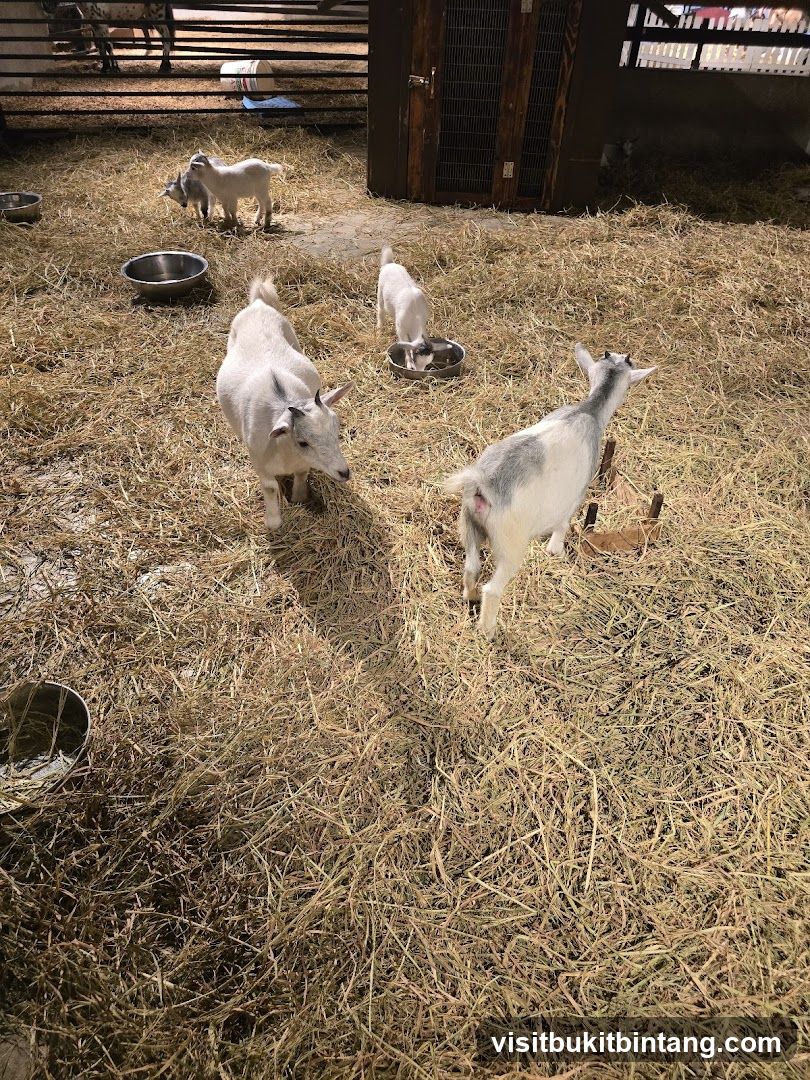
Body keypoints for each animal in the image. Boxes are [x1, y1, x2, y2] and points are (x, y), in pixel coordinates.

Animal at [216, 277, 353, 530]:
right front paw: (273, 522)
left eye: (337, 432)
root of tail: (258, 304)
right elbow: (269, 488)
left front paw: (299, 498)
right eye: (302, 442)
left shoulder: (301, 464)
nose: (344, 472)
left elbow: (302, 474)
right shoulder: (260, 462)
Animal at [444, 344, 656, 640]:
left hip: (469, 526)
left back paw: (470, 597)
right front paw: (556, 551)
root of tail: (484, 483)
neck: (589, 410)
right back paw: (488, 631)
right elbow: (563, 524)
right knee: (493, 588)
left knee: (471, 567)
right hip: (510, 545)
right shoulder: (575, 496)